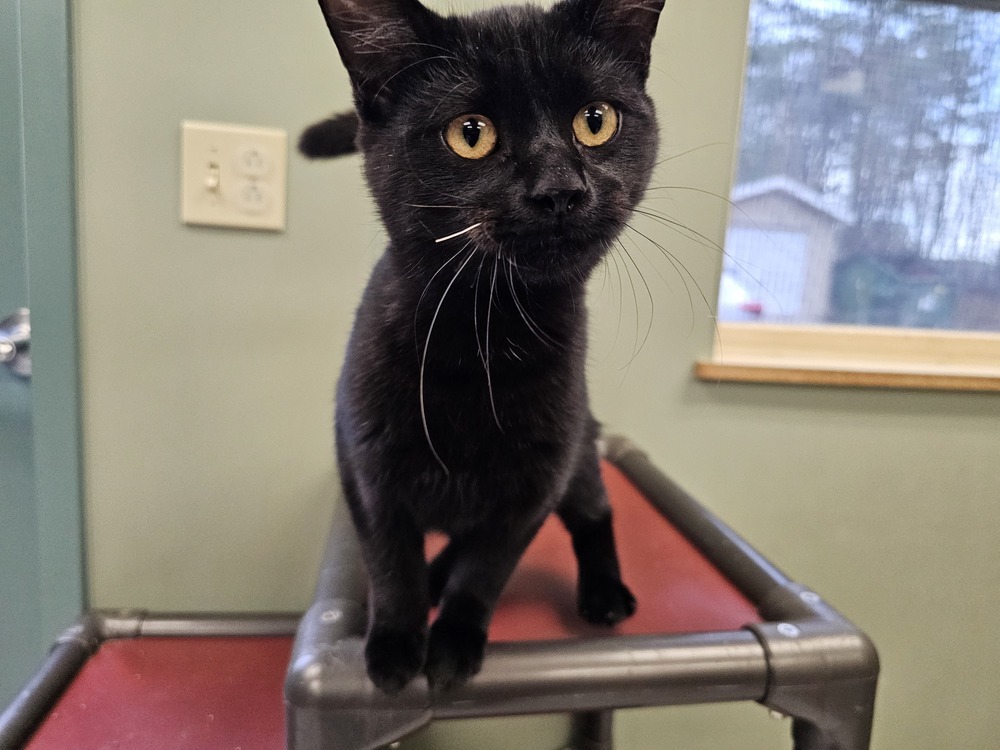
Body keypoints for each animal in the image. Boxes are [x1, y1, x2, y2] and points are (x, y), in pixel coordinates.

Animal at [308, 0, 660, 696]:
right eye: (470, 134)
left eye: (596, 121)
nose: (559, 188)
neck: (484, 344)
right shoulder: (367, 470)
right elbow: (390, 564)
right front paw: (395, 645)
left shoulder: (532, 489)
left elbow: (487, 571)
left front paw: (452, 644)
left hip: (578, 448)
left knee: (593, 510)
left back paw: (604, 591)